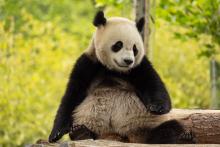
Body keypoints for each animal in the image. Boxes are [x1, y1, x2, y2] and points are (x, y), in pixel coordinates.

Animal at [47, 11, 192, 144]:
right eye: (118, 45)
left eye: (135, 49)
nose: (128, 61)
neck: (114, 70)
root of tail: (121, 138)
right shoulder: (89, 63)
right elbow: (72, 95)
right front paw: (56, 133)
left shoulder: (138, 67)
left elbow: (153, 84)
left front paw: (157, 107)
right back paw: (81, 133)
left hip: (146, 126)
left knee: (171, 128)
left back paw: (181, 137)